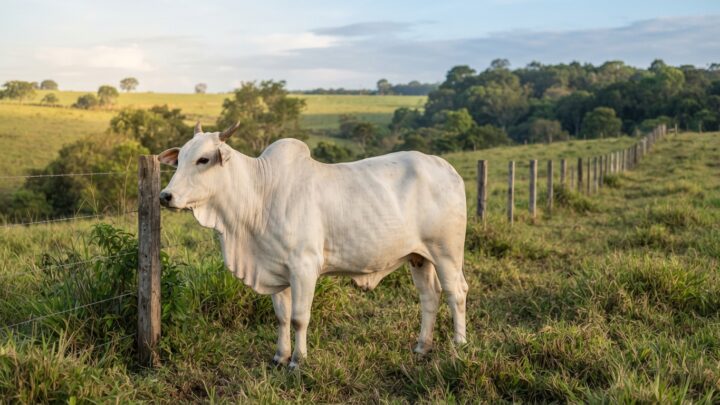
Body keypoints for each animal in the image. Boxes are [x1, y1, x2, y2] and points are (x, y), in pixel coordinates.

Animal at [158, 122, 469, 368]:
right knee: (429, 297)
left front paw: (298, 360)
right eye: (180, 159)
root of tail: (446, 167)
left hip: (446, 253)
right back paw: (422, 347)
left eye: (203, 159)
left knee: (456, 293)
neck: (259, 195)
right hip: (419, 257)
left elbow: (299, 318)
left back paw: (459, 346)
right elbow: (282, 317)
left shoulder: (304, 268)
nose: (165, 196)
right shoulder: (276, 269)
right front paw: (279, 357)